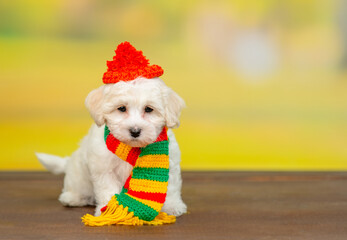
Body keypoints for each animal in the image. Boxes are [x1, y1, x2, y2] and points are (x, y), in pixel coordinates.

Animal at [36, 78, 188, 217]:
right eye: (121, 108)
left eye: (149, 109)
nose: (135, 131)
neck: (131, 147)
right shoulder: (103, 169)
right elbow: (108, 189)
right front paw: (110, 209)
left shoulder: (170, 164)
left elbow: (171, 187)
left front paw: (172, 206)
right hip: (78, 176)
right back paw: (73, 197)